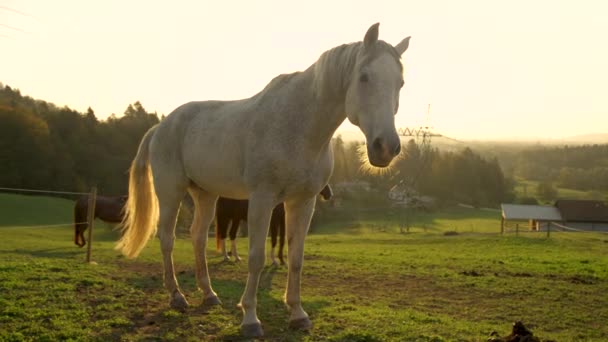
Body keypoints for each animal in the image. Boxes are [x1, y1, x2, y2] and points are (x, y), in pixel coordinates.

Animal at [116, 22, 410, 338]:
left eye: (401, 83)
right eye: (364, 76)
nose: (385, 147)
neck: (298, 127)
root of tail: (161, 126)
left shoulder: (302, 202)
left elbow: (296, 258)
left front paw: (298, 314)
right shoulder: (262, 199)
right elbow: (256, 258)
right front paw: (250, 319)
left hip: (205, 194)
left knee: (198, 237)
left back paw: (209, 295)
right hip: (171, 192)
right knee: (167, 239)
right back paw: (177, 296)